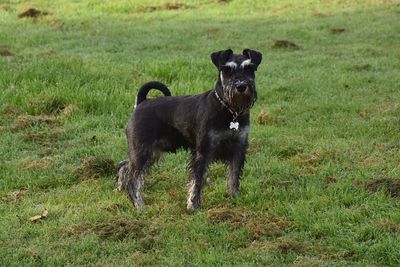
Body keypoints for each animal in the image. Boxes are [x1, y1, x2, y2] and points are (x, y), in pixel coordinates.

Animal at [115, 49, 262, 210]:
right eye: (227, 70)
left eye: (249, 68)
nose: (241, 86)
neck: (230, 110)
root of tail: (141, 103)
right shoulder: (202, 151)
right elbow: (197, 180)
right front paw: (193, 205)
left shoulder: (238, 148)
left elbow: (234, 175)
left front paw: (234, 197)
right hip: (142, 150)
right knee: (134, 177)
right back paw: (139, 204)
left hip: (152, 151)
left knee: (125, 166)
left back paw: (119, 188)